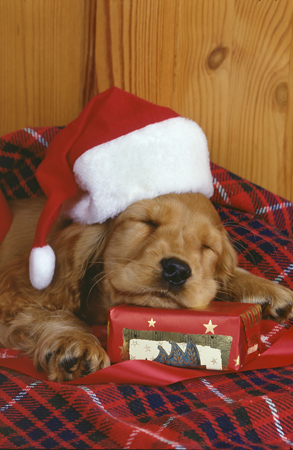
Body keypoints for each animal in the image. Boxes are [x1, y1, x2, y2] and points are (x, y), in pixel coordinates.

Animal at [0, 193, 290, 380]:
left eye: (207, 246)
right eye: (147, 222)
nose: (177, 270)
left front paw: (265, 290)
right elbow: (54, 312)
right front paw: (77, 341)